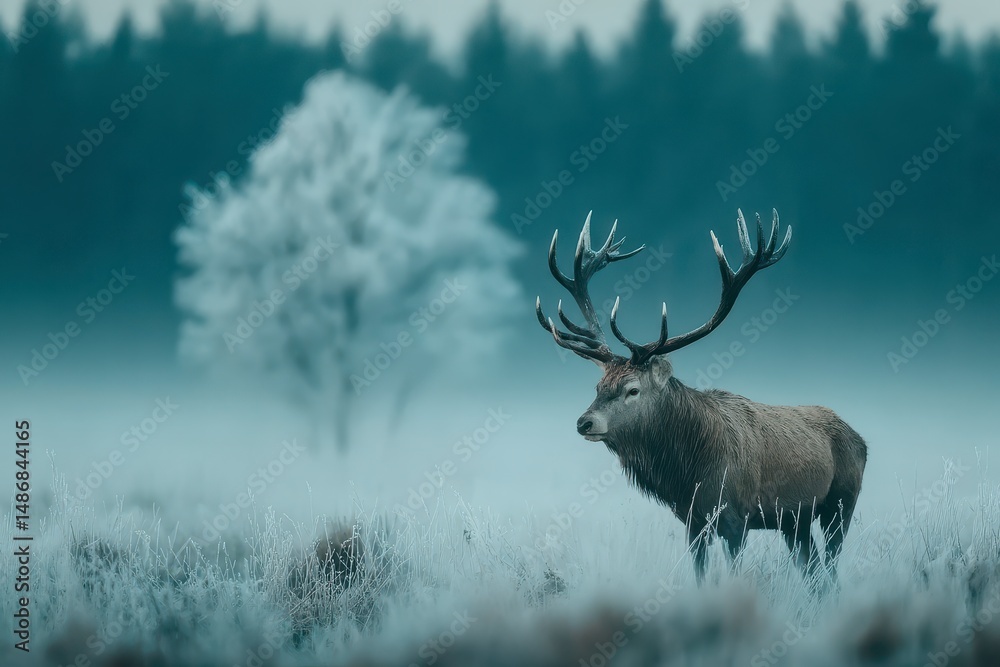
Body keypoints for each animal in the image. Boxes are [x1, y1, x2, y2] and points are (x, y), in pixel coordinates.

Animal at [535, 210, 867, 585]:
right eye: (598, 387)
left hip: (841, 504)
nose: (585, 422)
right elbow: (700, 575)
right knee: (814, 572)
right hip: (794, 521)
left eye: (633, 389)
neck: (689, 471)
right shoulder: (692, 521)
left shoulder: (736, 517)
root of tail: (861, 440)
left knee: (831, 569)